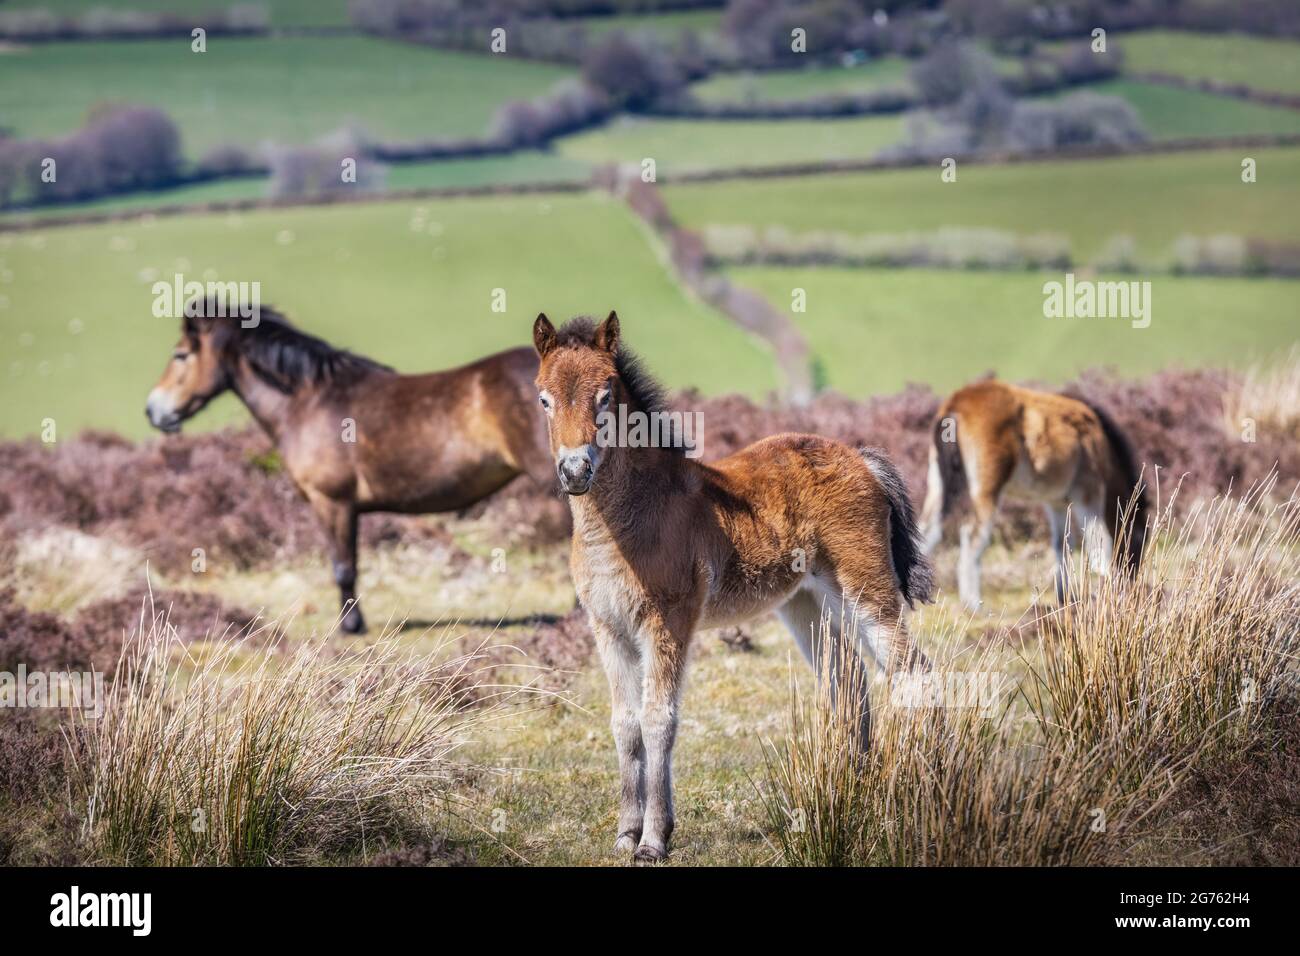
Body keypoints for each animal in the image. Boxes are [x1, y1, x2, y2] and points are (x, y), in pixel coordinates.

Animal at [147, 295, 559, 632]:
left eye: (181, 355)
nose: (153, 410)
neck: (309, 401)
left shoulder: (332, 503)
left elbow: (343, 566)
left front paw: (351, 625)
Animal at [530, 310, 935, 863]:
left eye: (606, 395)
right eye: (543, 398)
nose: (575, 470)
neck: (628, 519)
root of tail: (860, 458)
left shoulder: (668, 621)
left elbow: (659, 719)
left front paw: (654, 840)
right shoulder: (608, 628)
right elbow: (625, 724)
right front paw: (625, 834)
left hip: (865, 589)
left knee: (912, 669)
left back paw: (921, 786)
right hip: (807, 603)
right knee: (848, 683)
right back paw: (856, 791)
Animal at [920, 379, 1144, 608]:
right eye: (1139, 542)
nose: (1132, 584)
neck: (1099, 442)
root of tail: (957, 403)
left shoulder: (1057, 503)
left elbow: (1062, 544)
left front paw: (1064, 597)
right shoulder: (1089, 492)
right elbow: (1101, 541)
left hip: (938, 484)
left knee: (927, 529)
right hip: (988, 489)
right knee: (972, 536)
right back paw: (973, 605)